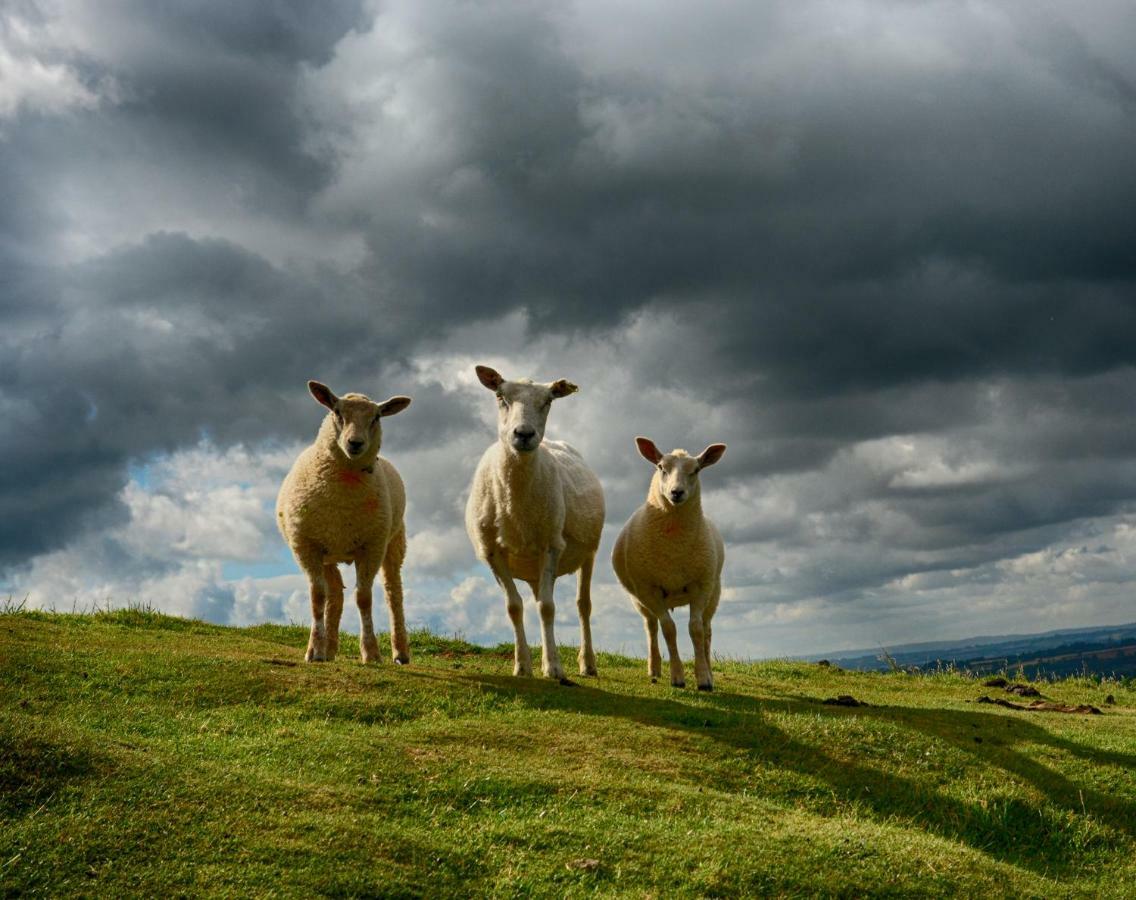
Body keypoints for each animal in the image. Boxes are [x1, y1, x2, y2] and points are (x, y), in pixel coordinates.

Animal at [276, 384, 413, 663]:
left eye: (376, 417)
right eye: (337, 412)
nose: (355, 443)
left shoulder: (371, 547)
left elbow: (364, 598)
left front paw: (371, 652)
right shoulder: (307, 545)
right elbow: (318, 597)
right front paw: (314, 650)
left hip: (394, 541)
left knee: (393, 592)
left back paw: (400, 651)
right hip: (328, 552)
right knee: (335, 593)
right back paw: (328, 649)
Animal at [463, 361, 604, 677]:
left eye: (548, 400)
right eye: (500, 396)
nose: (524, 434)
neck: (515, 506)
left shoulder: (551, 544)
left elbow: (548, 608)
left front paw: (553, 668)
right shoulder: (492, 552)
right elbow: (515, 607)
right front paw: (523, 666)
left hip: (588, 551)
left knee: (583, 605)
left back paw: (587, 663)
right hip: (531, 566)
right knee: (539, 597)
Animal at [613, 438, 727, 690]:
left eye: (696, 470)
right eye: (661, 468)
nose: (677, 492)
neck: (674, 548)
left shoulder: (700, 586)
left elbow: (695, 630)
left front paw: (703, 678)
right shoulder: (649, 590)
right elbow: (668, 629)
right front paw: (677, 677)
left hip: (714, 592)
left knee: (707, 630)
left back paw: (709, 670)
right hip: (639, 600)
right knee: (651, 627)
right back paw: (654, 669)